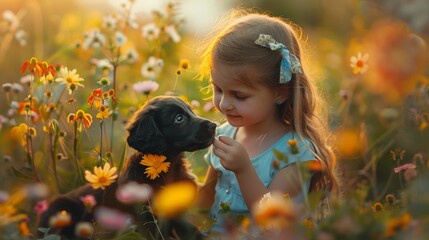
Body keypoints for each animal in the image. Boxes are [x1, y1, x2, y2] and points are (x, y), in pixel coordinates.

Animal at [38, 96, 216, 239]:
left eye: (191, 111)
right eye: (179, 118)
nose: (214, 125)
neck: (167, 169)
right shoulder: (146, 218)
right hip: (62, 208)